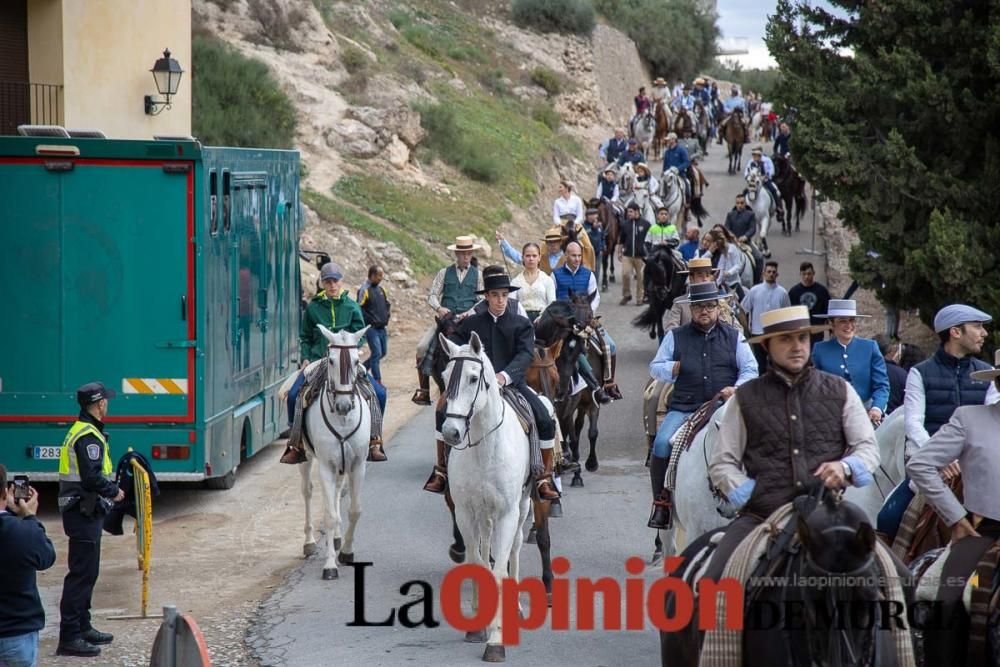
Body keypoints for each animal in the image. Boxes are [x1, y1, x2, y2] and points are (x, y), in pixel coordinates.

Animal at [278, 326, 372, 580]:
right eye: (331, 361)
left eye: (357, 360)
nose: (343, 405)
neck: (343, 419)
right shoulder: (326, 466)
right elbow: (329, 516)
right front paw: (330, 565)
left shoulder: (358, 465)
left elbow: (355, 510)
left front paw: (347, 551)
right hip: (307, 459)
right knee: (308, 492)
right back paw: (310, 542)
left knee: (338, 492)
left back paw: (338, 539)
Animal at [438, 334, 532, 664]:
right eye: (444, 378)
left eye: (473, 378)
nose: (451, 432)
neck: (484, 447)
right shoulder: (465, 512)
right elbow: (478, 562)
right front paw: (479, 625)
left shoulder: (507, 514)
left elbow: (499, 568)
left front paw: (496, 640)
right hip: (482, 515)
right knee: (482, 547)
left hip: (523, 507)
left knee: (515, 549)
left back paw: (516, 608)